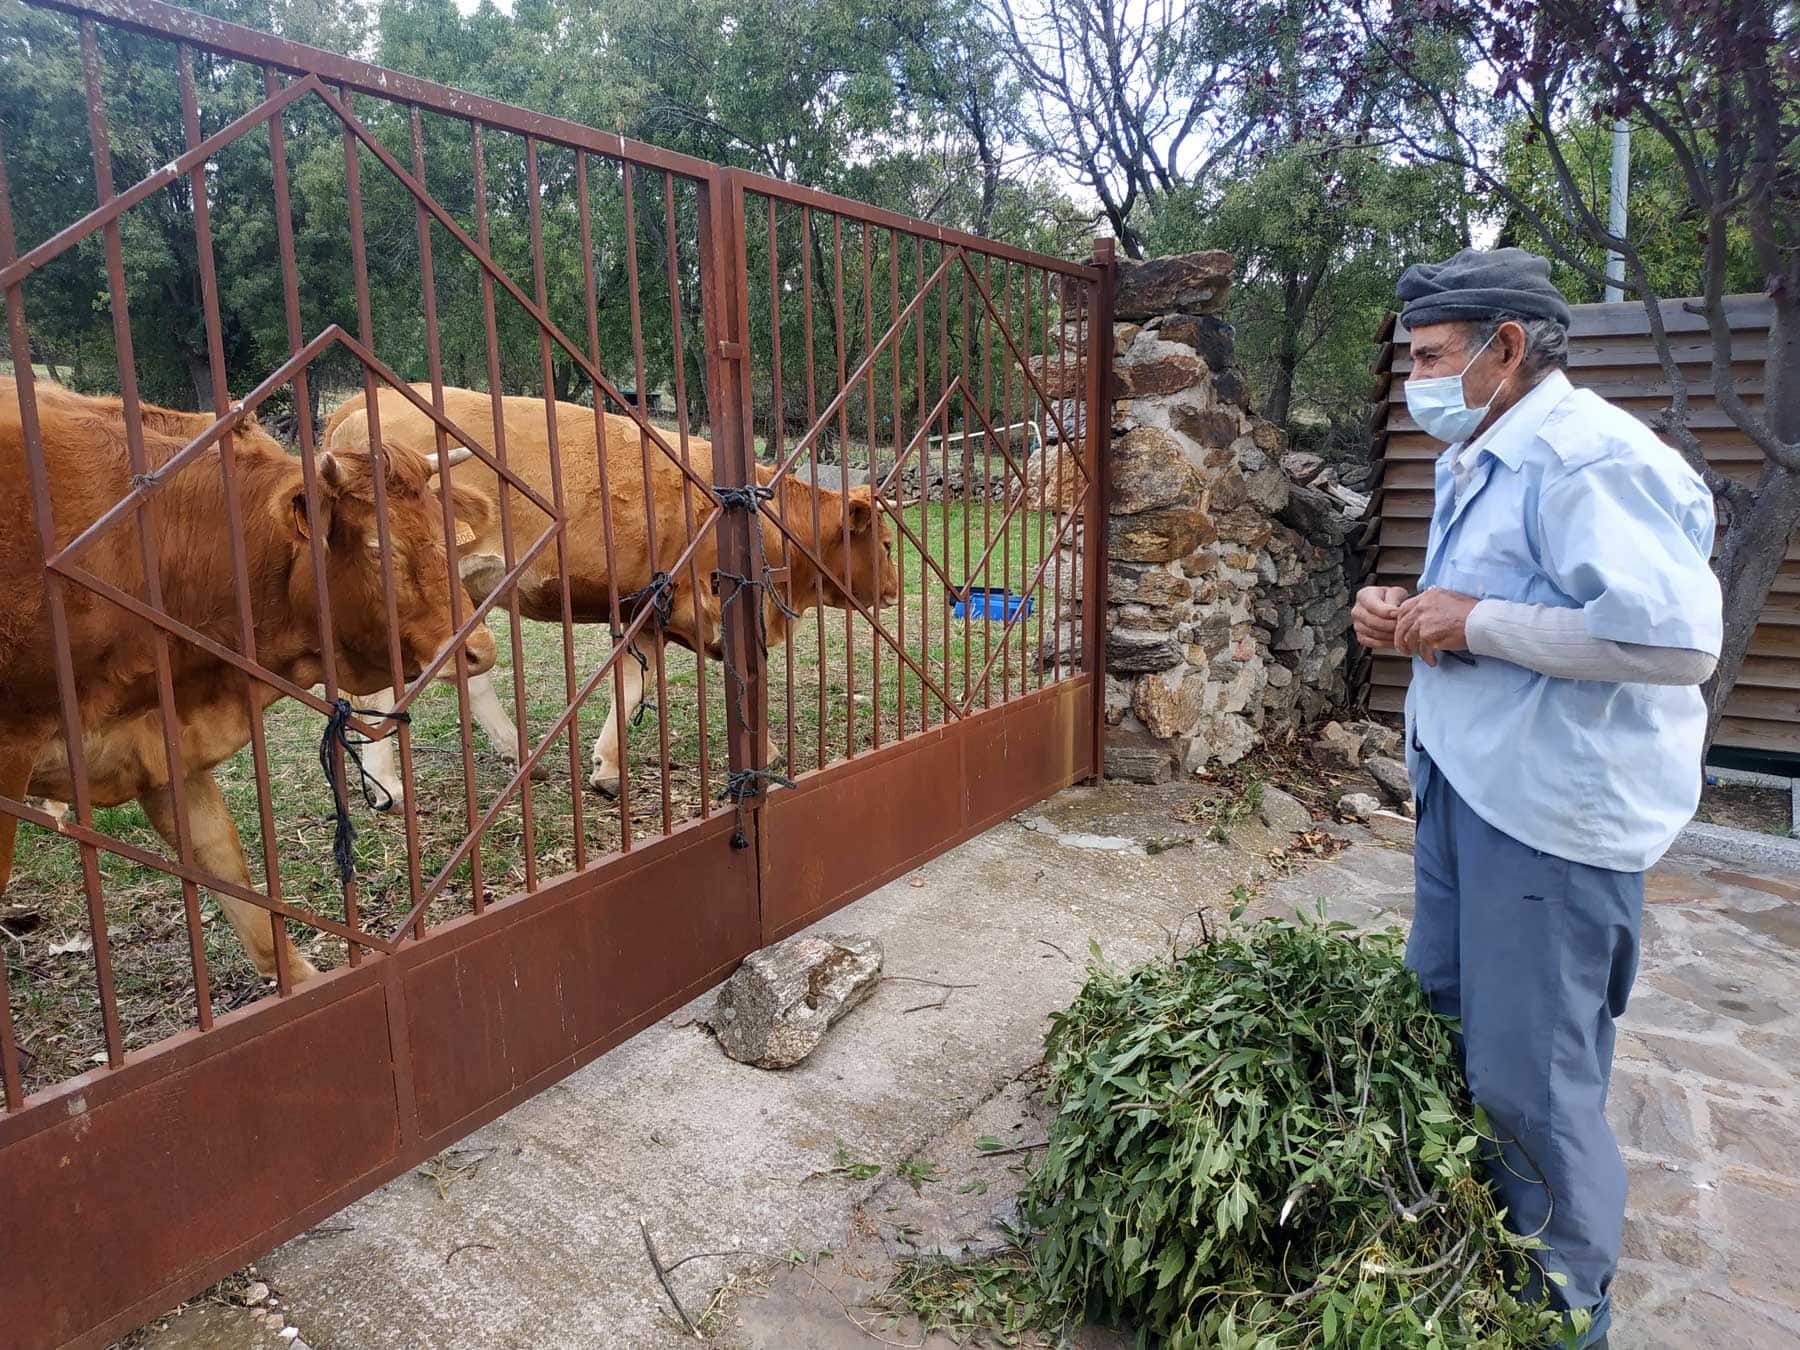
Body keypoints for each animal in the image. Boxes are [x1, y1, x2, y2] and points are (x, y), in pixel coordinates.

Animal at [324, 383, 900, 802]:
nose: (896, 589)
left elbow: (630, 687)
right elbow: (738, 682)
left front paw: (606, 767)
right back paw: (386, 786)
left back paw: (517, 752)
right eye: (888, 543)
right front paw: (770, 749)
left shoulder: (644, 610)